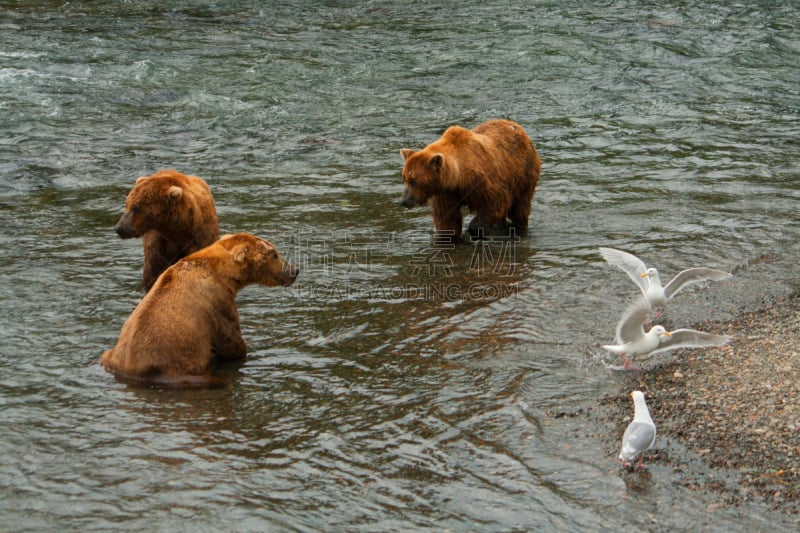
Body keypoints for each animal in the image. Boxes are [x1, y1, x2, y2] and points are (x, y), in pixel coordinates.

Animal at [101, 233, 300, 386]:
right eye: (274, 254)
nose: (294, 270)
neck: (223, 271)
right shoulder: (216, 301)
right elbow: (230, 339)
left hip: (110, 354)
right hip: (178, 361)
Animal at [396, 118, 540, 243]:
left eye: (414, 180)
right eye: (404, 178)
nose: (403, 201)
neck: (458, 178)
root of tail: (516, 125)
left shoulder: (481, 182)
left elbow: (497, 202)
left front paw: (477, 232)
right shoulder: (446, 192)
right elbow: (447, 219)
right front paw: (450, 238)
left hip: (523, 173)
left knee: (520, 207)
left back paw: (518, 228)